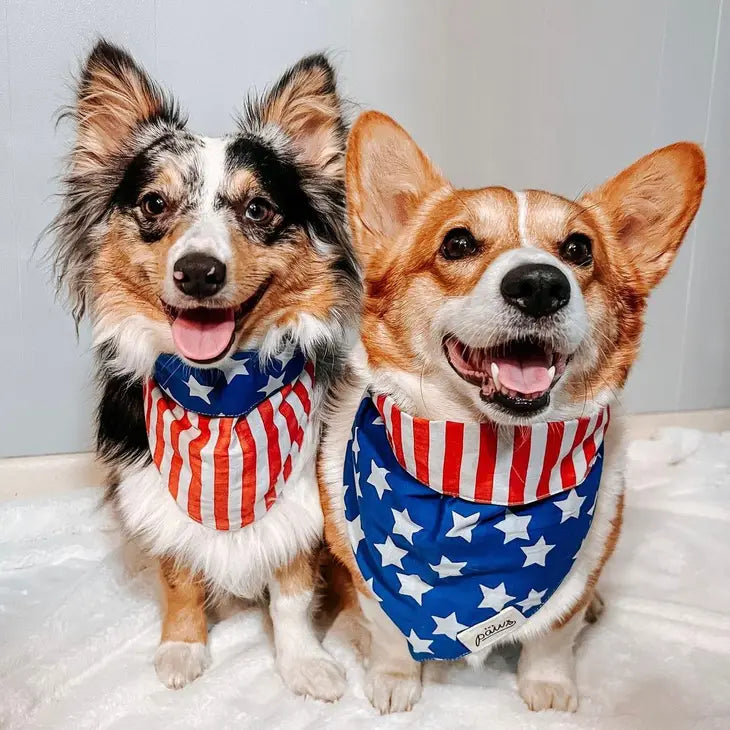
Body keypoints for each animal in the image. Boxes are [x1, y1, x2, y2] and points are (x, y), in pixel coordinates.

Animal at [49, 41, 358, 700]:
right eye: (153, 204)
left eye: (258, 208)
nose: (197, 272)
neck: (222, 399)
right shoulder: (156, 500)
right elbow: (179, 578)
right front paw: (183, 648)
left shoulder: (302, 506)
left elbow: (291, 594)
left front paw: (303, 662)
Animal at [320, 112, 704, 712]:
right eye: (456, 243)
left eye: (579, 249)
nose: (541, 285)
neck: (487, 469)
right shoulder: (370, 573)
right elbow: (388, 632)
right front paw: (394, 680)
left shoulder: (575, 580)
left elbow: (555, 632)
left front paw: (547, 686)